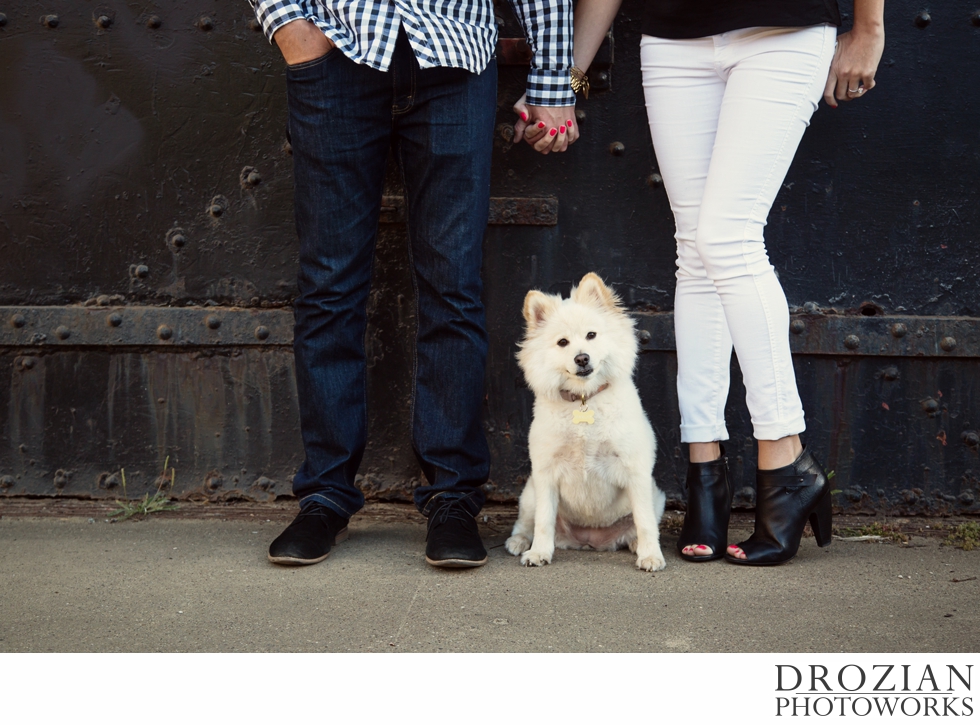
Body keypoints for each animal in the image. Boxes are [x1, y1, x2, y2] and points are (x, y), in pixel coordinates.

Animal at [506, 272, 668, 572]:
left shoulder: (635, 471)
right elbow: (543, 522)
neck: (584, 398)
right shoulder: (545, 475)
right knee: (526, 523)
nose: (582, 358)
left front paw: (651, 555)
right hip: (529, 494)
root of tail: (590, 540)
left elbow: (645, 521)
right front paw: (539, 553)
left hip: (655, 497)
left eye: (591, 335)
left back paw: (636, 544)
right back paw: (520, 542)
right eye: (562, 342)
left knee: (637, 525)